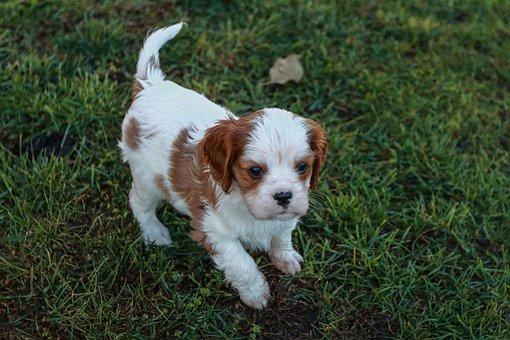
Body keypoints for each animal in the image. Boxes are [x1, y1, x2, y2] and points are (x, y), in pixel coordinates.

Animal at [119, 22, 326, 310]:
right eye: (255, 171)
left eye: (303, 167)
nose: (284, 196)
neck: (250, 208)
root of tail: (150, 84)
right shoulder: (214, 232)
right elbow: (242, 263)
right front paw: (256, 294)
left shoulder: (287, 217)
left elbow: (281, 236)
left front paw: (286, 258)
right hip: (146, 178)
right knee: (140, 204)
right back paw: (155, 233)